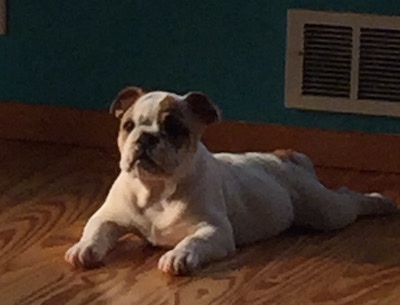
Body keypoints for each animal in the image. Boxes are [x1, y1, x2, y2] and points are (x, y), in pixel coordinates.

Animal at [65, 86, 396, 274]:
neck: (156, 189)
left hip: (325, 211)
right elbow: (96, 230)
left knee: (347, 197)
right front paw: (85, 248)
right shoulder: (109, 217)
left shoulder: (214, 231)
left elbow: (193, 241)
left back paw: (380, 202)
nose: (145, 138)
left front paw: (179, 256)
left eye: (175, 129)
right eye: (128, 125)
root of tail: (284, 157)